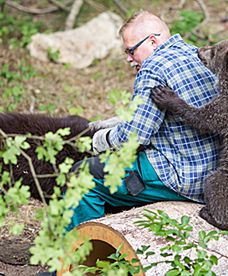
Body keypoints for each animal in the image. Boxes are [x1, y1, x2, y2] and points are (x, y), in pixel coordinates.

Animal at [151, 40, 228, 231]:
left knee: (213, 182)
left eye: (214, 51)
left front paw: (165, 95)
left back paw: (208, 213)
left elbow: (201, 118)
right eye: (215, 46)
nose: (199, 50)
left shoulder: (223, 109)